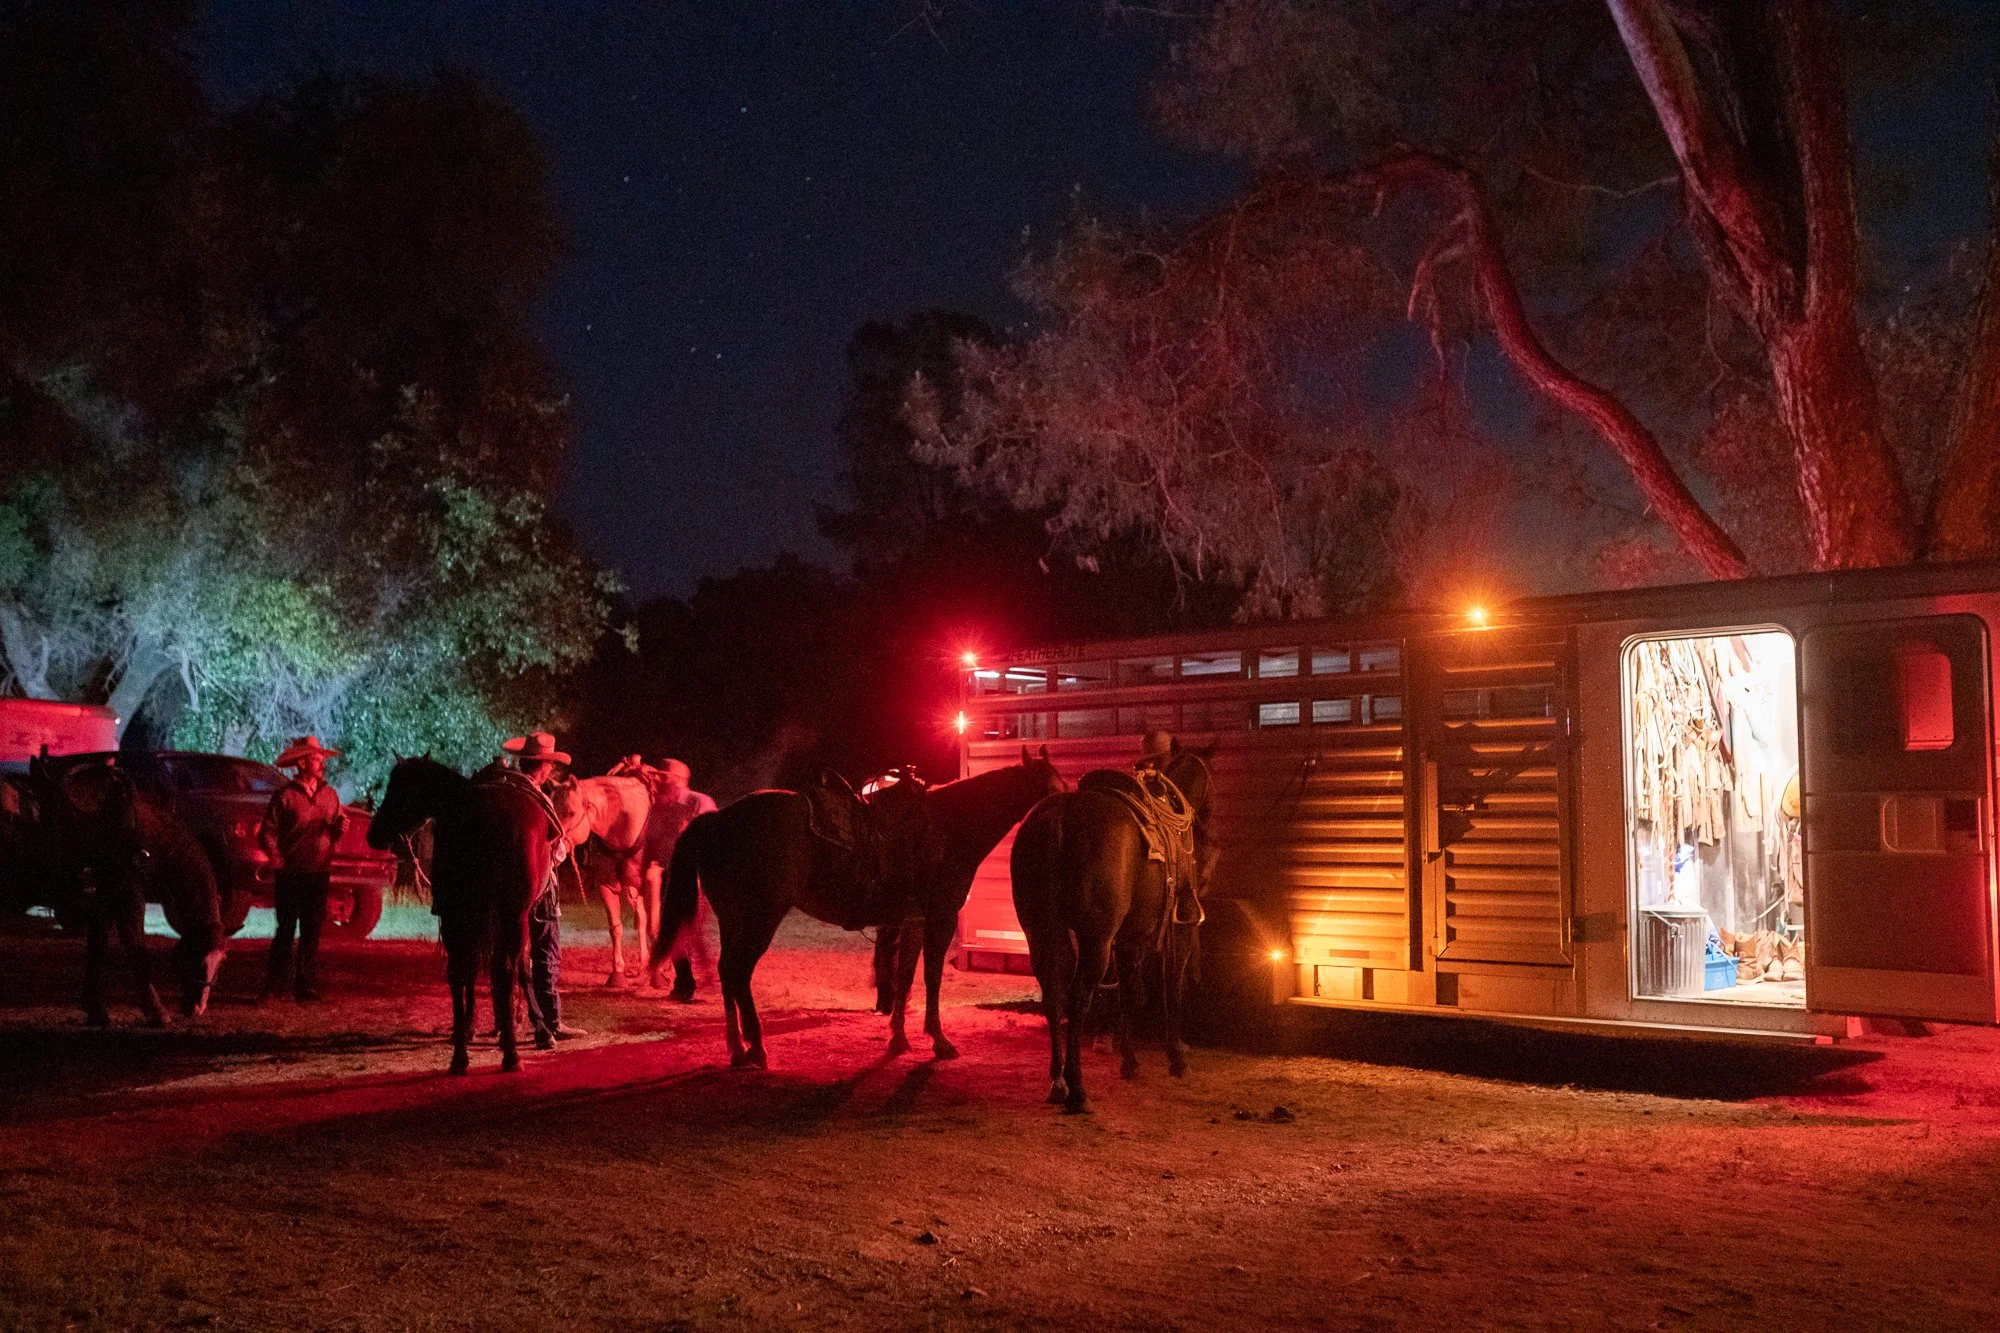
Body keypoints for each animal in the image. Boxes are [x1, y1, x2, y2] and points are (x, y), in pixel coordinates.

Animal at [31, 757, 227, 1026]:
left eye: (220, 963)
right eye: (196, 955)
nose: (197, 1008)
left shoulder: (104, 902)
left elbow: (98, 947)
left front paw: (95, 1008)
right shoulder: (128, 896)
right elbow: (136, 950)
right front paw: (156, 1011)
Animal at [367, 757, 559, 1074]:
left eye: (400, 788)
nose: (374, 834)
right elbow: (518, 969)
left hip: (464, 915)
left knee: (463, 972)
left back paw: (464, 1055)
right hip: (502, 916)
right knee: (498, 970)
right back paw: (505, 1052)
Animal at [549, 773, 653, 986]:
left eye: (571, 812)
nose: (554, 847)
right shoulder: (607, 885)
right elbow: (616, 928)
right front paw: (618, 973)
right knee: (641, 918)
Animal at [649, 746, 1064, 1069]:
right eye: (1050, 786)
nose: (1063, 813)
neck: (949, 825)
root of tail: (718, 819)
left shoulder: (912, 920)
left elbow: (905, 977)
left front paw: (899, 1038)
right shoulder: (940, 917)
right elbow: (930, 978)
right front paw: (939, 1041)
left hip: (734, 918)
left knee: (726, 971)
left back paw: (737, 1047)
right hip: (760, 919)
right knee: (738, 971)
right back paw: (756, 1047)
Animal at [1009, 742, 1214, 1113]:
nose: (1209, 834)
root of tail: (1061, 815)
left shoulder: (1130, 939)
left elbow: (1129, 993)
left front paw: (1130, 1061)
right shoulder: (1176, 931)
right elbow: (1171, 988)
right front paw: (1176, 1058)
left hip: (1041, 932)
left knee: (1053, 995)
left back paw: (1057, 1080)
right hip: (1096, 939)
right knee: (1078, 998)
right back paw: (1077, 1088)